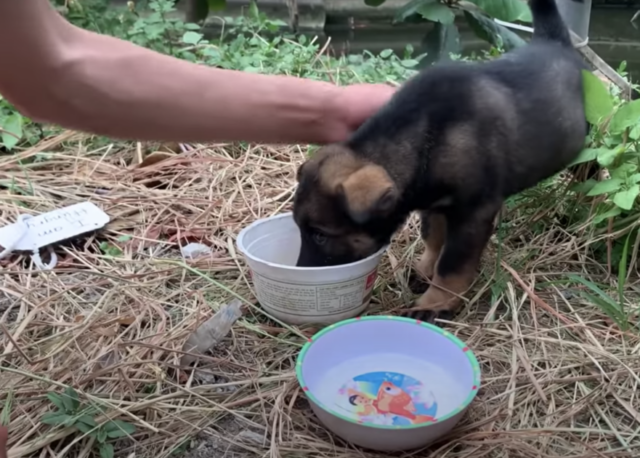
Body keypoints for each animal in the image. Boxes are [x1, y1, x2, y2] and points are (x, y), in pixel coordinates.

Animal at [292, 0, 588, 322]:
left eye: (320, 235)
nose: (300, 272)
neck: (423, 137)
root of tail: (555, 41)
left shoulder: (473, 212)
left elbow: (452, 264)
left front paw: (436, 303)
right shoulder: (435, 205)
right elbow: (434, 238)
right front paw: (425, 271)